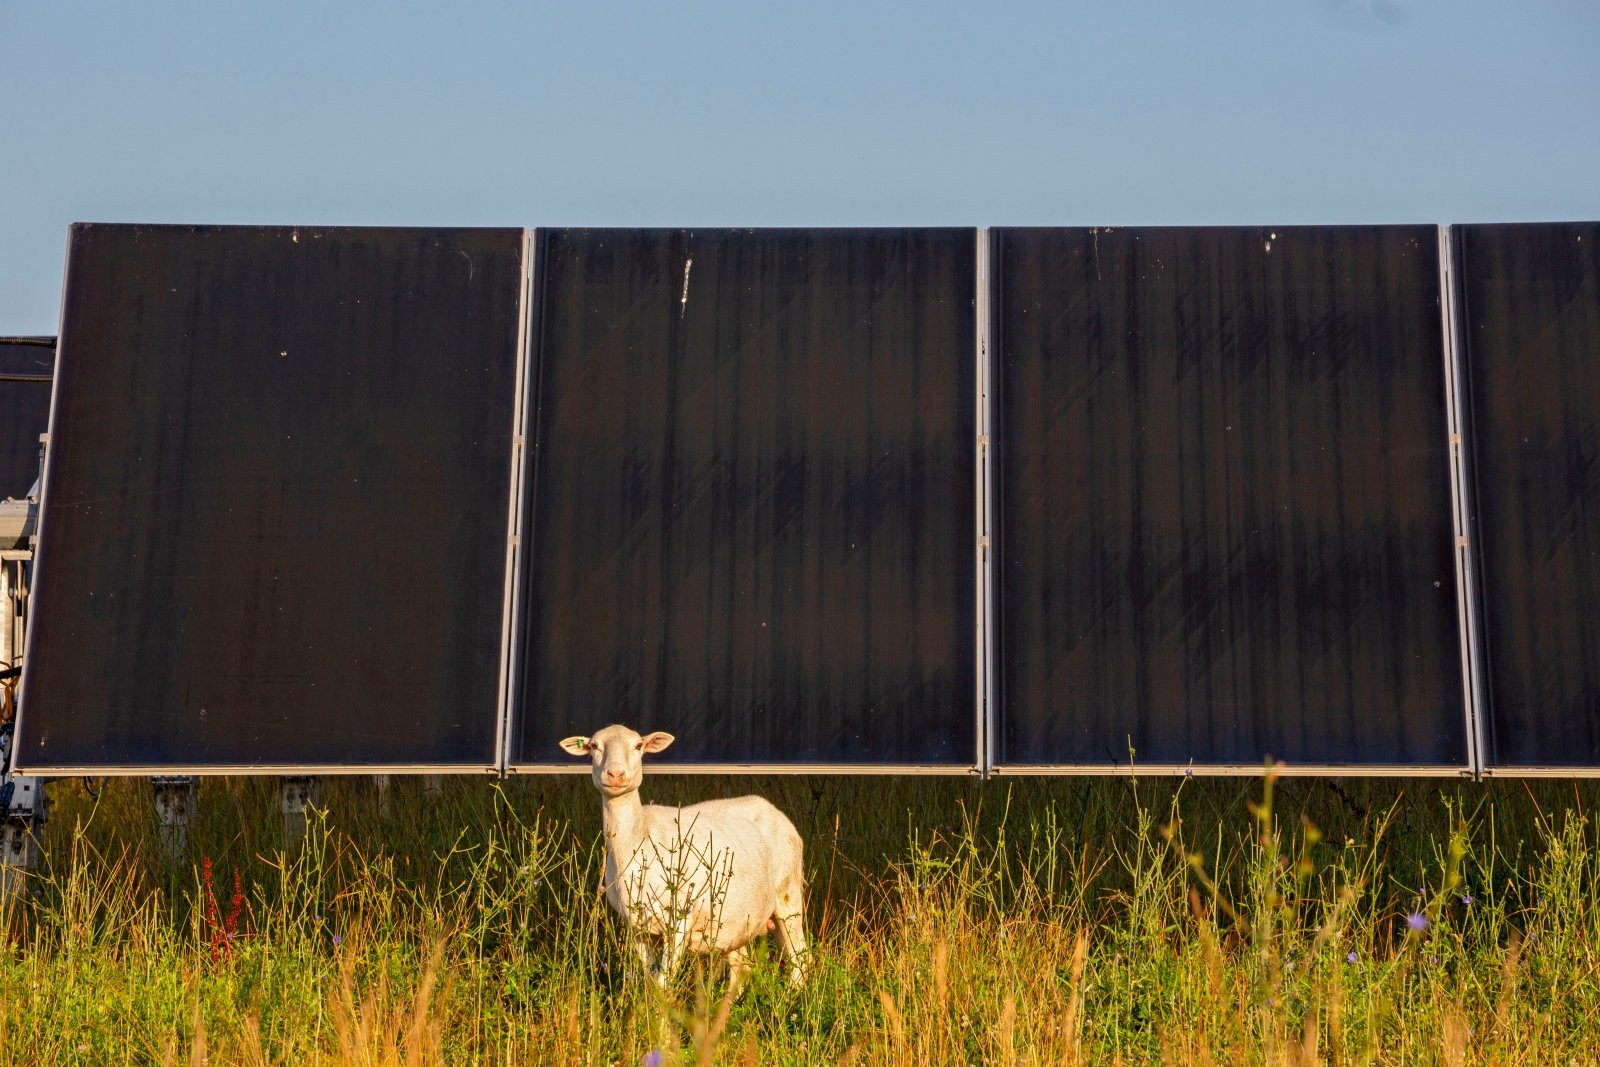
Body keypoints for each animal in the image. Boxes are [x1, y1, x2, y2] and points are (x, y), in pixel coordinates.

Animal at [560, 724, 809, 993]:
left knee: (800, 958)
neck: (640, 836)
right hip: (737, 920)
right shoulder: (637, 928)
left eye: (638, 746)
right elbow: (650, 982)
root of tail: (775, 812)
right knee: (741, 969)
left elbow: (662, 983)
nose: (615, 774)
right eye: (594, 746)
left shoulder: (678, 921)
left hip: (788, 893)